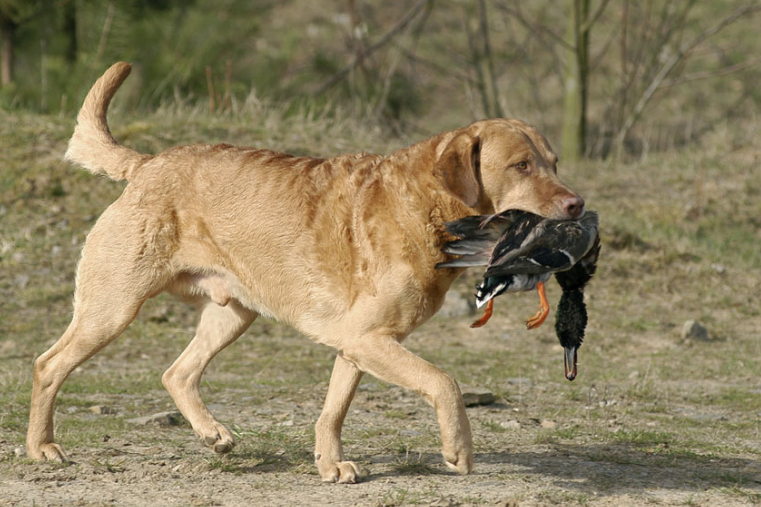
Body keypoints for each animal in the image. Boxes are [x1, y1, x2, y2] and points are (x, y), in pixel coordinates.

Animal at [23, 61, 580, 482]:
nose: (577, 206)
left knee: (177, 372)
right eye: (521, 165)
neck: (426, 206)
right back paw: (42, 447)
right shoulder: (370, 339)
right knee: (49, 364)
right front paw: (458, 450)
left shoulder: (358, 341)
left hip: (234, 313)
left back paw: (213, 434)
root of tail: (147, 164)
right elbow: (443, 381)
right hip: (112, 307)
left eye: (554, 161)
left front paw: (329, 464)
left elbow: (333, 410)